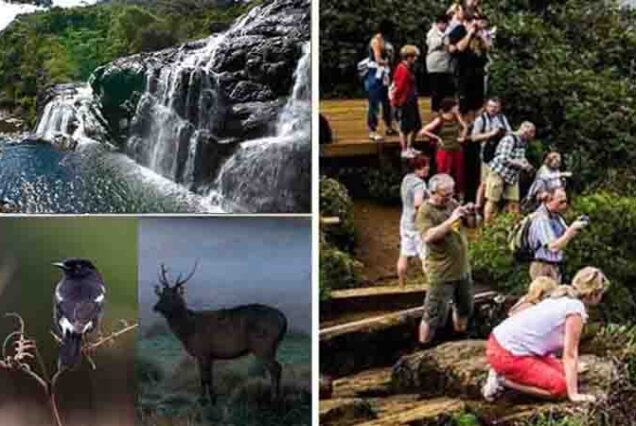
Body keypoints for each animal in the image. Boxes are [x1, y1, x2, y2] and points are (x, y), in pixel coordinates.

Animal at [153, 262, 286, 404]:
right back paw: (277, 396)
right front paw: (213, 398)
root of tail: (283, 318)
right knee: (278, 367)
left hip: (262, 344)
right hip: (272, 346)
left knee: (275, 368)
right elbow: (209, 377)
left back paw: (274, 398)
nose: (155, 307)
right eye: (161, 295)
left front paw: (203, 400)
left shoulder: (202, 351)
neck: (188, 330)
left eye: (172, 296)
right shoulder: (209, 355)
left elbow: (203, 377)